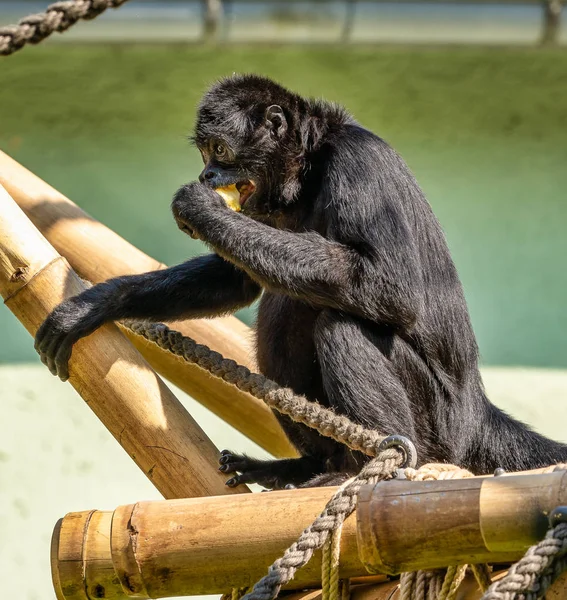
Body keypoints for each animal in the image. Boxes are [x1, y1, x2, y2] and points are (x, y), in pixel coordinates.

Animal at [34, 74, 567, 488]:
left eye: (219, 150)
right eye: (205, 154)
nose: (207, 175)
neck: (310, 170)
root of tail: (475, 410)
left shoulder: (358, 163)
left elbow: (390, 287)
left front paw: (198, 208)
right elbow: (236, 281)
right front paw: (98, 303)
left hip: (440, 421)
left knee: (338, 324)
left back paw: (367, 468)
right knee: (283, 311)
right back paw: (304, 467)